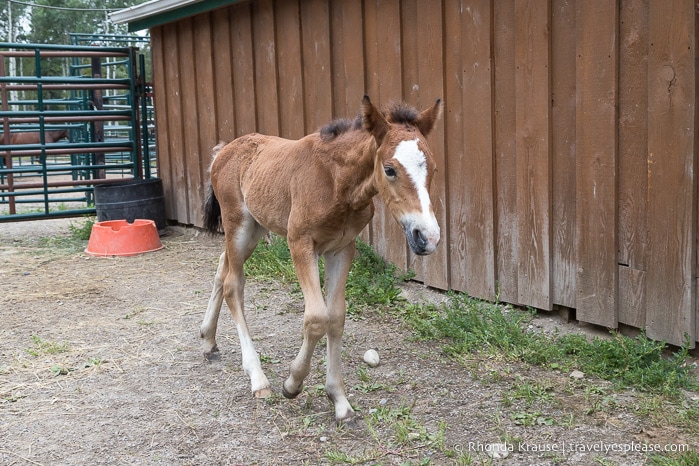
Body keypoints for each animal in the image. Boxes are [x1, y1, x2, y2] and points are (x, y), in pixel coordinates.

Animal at [200, 94, 442, 422]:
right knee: (233, 285)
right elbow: (316, 318)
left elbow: (336, 317)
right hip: (238, 226)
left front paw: (339, 400)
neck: (336, 182)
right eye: (390, 169)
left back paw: (208, 340)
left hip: (253, 229)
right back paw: (258, 378)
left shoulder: (342, 248)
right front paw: (292, 383)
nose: (427, 237)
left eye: (434, 169)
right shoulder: (301, 244)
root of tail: (222, 151)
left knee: (221, 270)